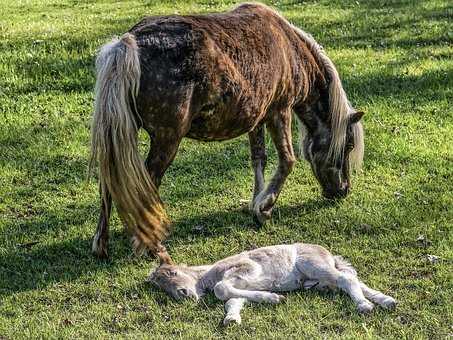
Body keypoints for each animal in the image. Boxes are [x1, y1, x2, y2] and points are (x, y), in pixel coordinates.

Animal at [89, 3, 364, 260]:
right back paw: (152, 246)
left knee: (109, 182)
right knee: (146, 185)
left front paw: (256, 203)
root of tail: (131, 42)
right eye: (349, 145)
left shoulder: (258, 119)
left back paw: (101, 245)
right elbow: (287, 161)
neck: (291, 50)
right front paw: (265, 206)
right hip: (167, 140)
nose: (343, 190)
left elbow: (259, 160)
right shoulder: (280, 111)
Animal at [149, 243, 396, 326]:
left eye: (173, 272)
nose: (183, 294)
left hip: (312, 264)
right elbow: (233, 301)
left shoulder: (246, 268)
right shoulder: (241, 289)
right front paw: (232, 319)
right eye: (161, 287)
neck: (210, 273)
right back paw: (387, 301)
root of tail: (327, 253)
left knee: (347, 279)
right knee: (351, 279)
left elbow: (221, 290)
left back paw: (365, 306)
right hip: (321, 273)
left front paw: (275, 297)